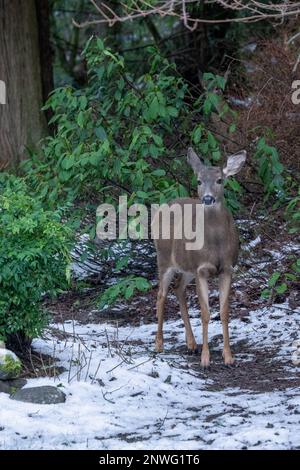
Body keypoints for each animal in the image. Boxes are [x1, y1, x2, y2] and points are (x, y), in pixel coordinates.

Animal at [152, 147, 246, 368]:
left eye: (220, 180)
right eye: (199, 181)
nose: (208, 199)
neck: (216, 244)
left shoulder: (226, 269)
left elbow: (224, 312)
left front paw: (228, 357)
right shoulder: (202, 269)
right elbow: (205, 313)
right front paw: (206, 359)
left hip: (187, 267)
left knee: (178, 289)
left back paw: (191, 344)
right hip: (164, 259)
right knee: (161, 294)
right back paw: (159, 344)